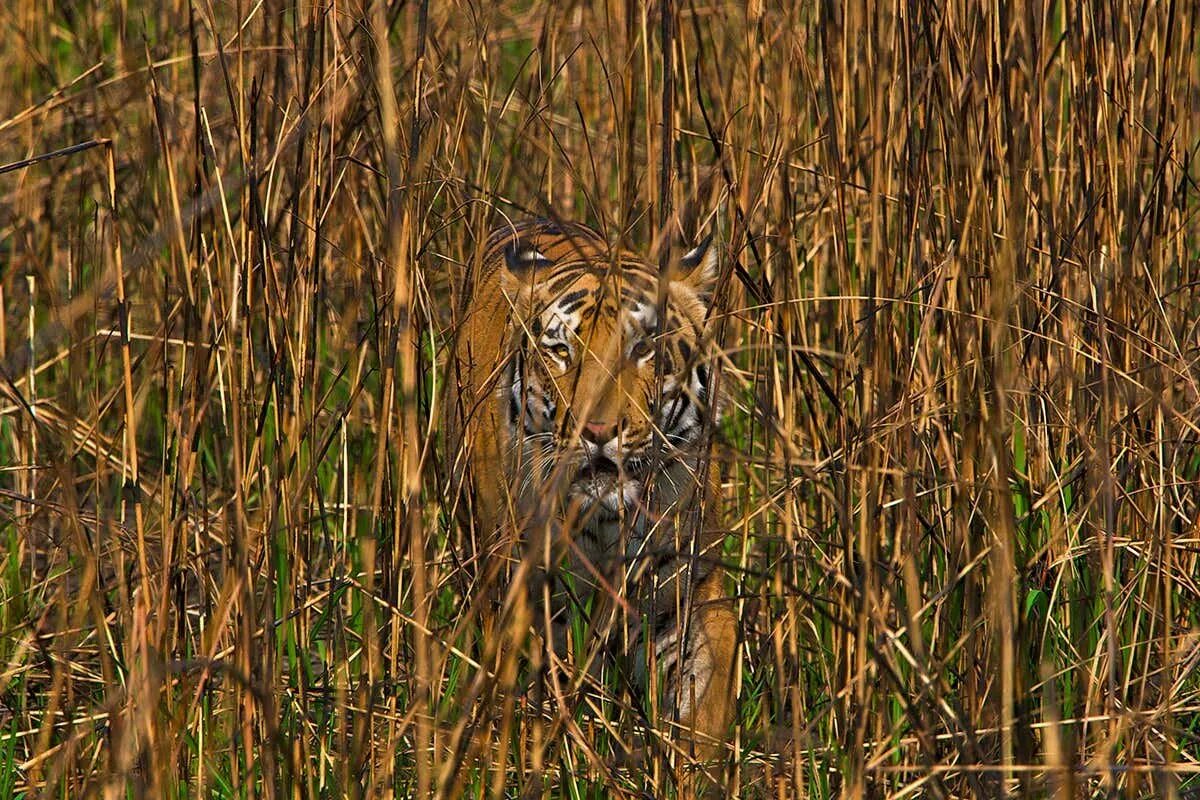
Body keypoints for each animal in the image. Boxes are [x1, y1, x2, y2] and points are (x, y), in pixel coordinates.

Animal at [446, 217, 734, 777]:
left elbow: (703, 698)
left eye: (644, 347)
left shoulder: (686, 584)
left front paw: (693, 769)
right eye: (562, 351)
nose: (596, 432)